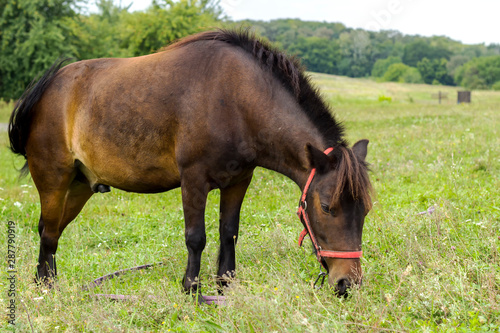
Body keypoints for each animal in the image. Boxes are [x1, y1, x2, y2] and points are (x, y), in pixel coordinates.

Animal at [8, 29, 372, 296]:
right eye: (326, 207)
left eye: (365, 210)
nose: (347, 283)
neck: (238, 100)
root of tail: (46, 90)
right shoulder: (194, 180)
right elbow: (196, 237)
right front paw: (191, 288)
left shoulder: (239, 181)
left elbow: (229, 233)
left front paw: (224, 285)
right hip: (54, 182)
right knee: (48, 232)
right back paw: (46, 287)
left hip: (80, 186)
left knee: (52, 232)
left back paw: (46, 282)